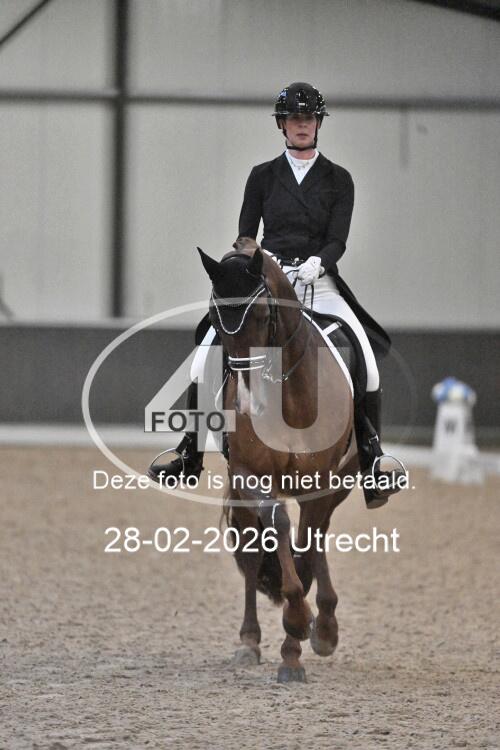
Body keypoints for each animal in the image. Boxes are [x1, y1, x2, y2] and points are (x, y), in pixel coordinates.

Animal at [198, 237, 360, 683]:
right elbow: (279, 528)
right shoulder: (248, 474)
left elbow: (306, 543)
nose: (247, 403)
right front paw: (294, 631)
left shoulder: (322, 480)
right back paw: (250, 642)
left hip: (341, 481)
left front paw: (305, 634)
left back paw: (324, 625)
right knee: (256, 551)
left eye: (260, 315)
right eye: (215, 321)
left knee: (316, 536)